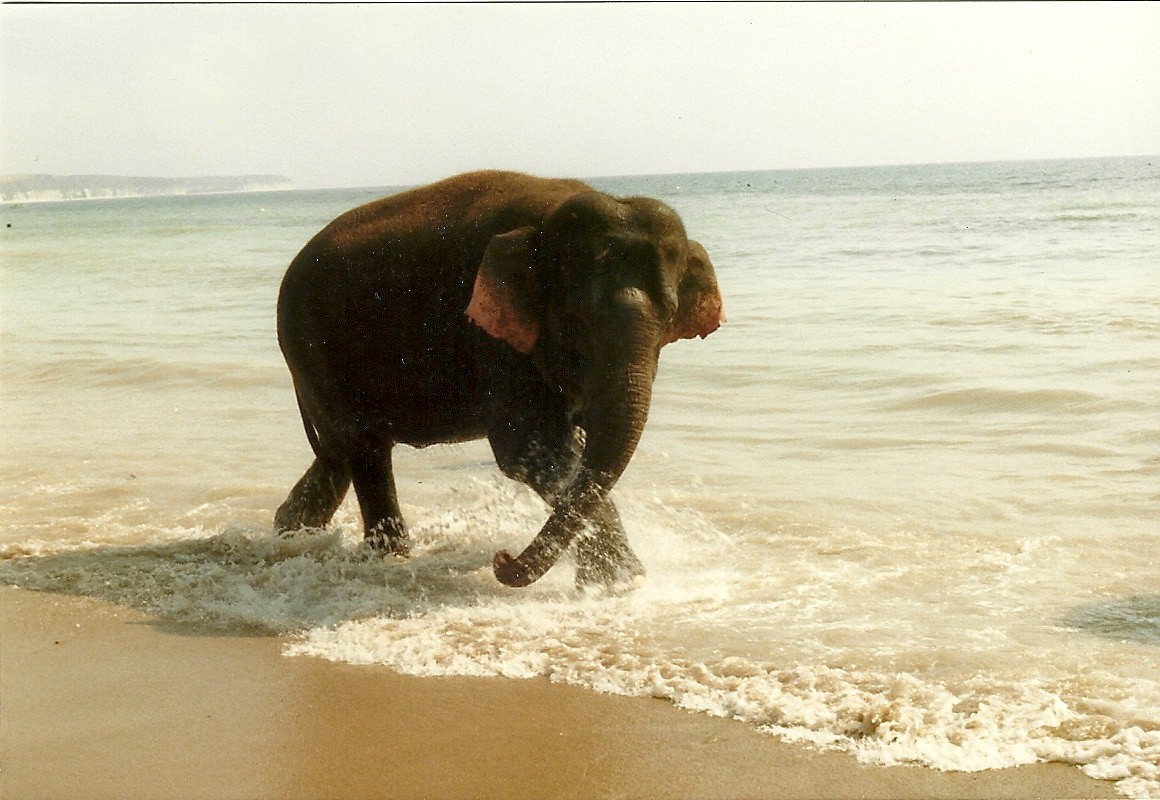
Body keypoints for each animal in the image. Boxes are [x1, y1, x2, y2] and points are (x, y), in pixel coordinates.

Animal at [273, 170, 724, 588]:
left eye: (669, 315)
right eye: (578, 320)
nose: (501, 559)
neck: (548, 216)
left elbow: (576, 445)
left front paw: (617, 581)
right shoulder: (490, 336)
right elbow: (524, 445)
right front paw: (620, 582)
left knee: (338, 456)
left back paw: (290, 531)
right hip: (312, 346)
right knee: (363, 449)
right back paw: (384, 555)